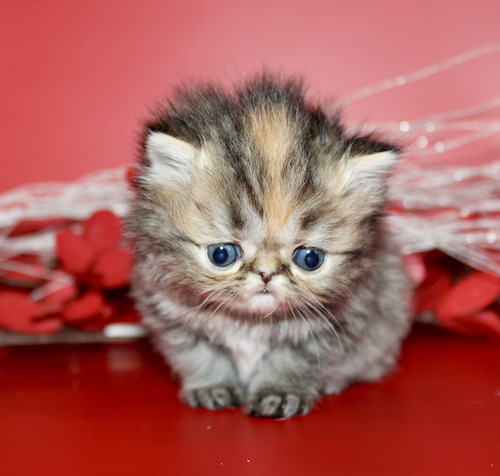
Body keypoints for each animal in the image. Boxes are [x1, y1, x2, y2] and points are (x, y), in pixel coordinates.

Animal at [126, 75, 411, 419]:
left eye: (310, 259)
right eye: (221, 255)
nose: (266, 273)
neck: (250, 323)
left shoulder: (336, 323)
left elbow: (290, 363)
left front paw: (279, 393)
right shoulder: (171, 314)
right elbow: (201, 357)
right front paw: (212, 387)